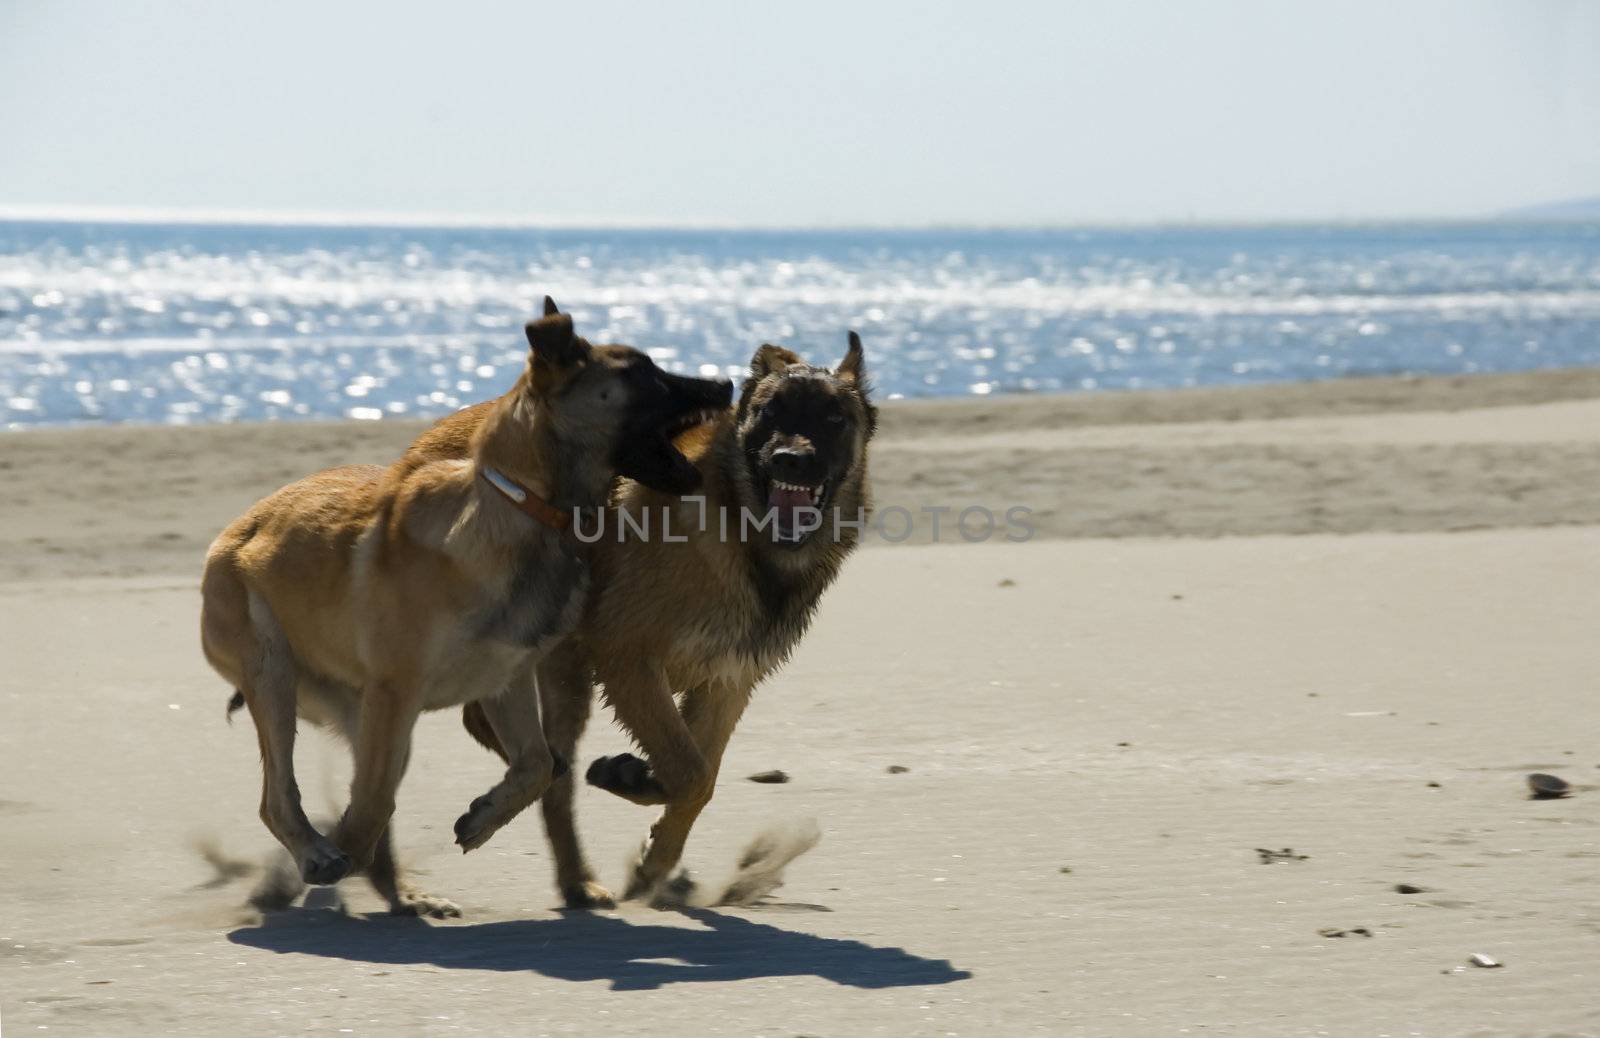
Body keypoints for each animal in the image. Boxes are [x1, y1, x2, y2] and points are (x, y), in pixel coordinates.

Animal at [200, 302, 732, 914]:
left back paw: (404, 895)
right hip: (277, 678)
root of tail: (235, 533)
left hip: (365, 715)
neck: (526, 508)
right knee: (281, 798)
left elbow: (537, 765)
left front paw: (483, 818)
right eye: (643, 372)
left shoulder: (504, 680)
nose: (726, 384)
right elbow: (374, 800)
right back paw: (320, 855)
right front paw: (338, 852)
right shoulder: (397, 693)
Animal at [403, 327, 876, 902]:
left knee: (512, 741)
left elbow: (701, 777)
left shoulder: (726, 682)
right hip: (566, 671)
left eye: (833, 418)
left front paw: (656, 858)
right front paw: (638, 784)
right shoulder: (630, 660)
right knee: (549, 771)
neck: (738, 527)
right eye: (769, 411)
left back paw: (573, 871)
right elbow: (687, 769)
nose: (790, 459)